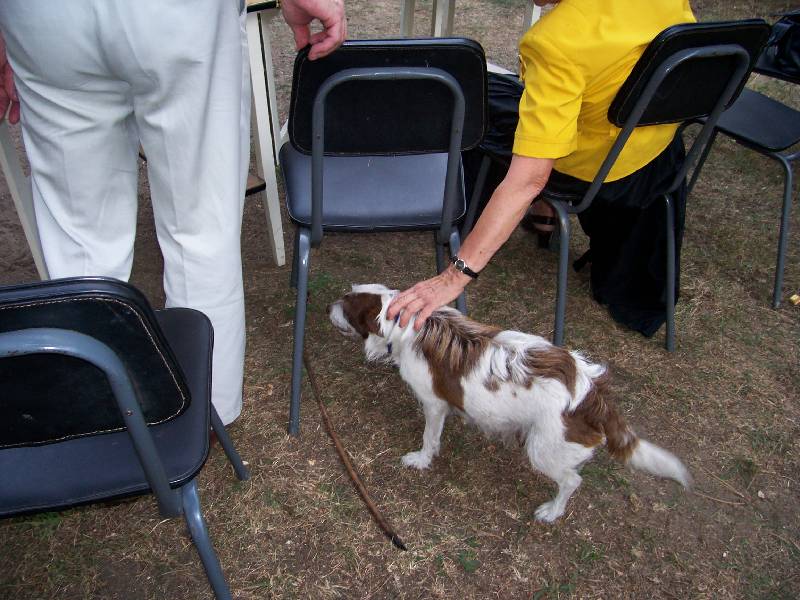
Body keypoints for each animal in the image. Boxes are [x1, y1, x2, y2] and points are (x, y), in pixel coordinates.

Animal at [328, 284, 691, 522]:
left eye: (346, 306)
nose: (327, 306)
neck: (409, 326)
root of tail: (590, 394)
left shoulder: (434, 404)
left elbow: (430, 438)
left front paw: (421, 459)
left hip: (543, 449)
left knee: (571, 481)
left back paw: (553, 511)